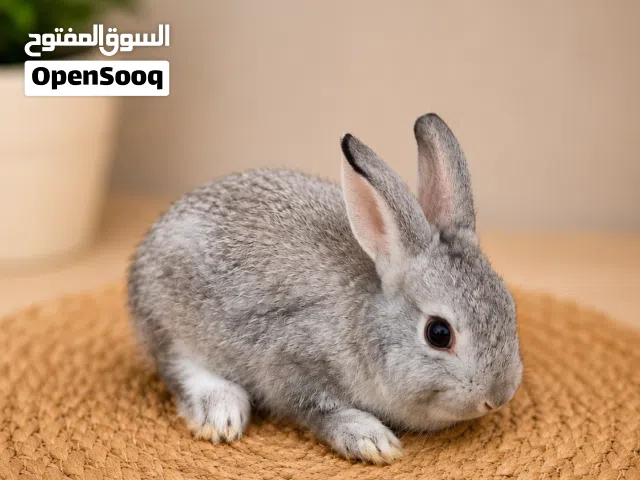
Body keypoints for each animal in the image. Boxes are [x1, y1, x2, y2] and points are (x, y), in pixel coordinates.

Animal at [128, 113, 523, 464]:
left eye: (510, 306)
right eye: (438, 334)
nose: (498, 397)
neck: (366, 321)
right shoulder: (290, 361)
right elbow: (318, 408)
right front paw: (371, 441)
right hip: (170, 319)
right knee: (178, 367)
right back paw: (221, 412)